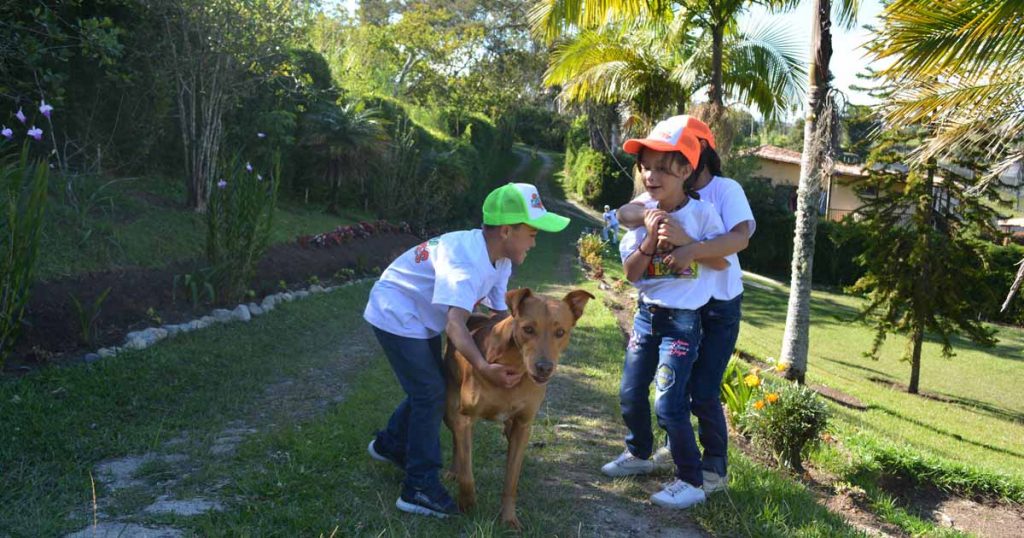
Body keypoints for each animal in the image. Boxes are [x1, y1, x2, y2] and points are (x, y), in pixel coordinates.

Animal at [444, 286, 598, 524]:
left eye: (560, 332)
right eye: (528, 329)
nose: (544, 367)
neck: (513, 363)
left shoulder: (523, 426)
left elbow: (511, 480)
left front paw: (508, 518)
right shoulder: (465, 418)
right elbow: (467, 473)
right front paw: (467, 505)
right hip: (449, 410)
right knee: (455, 440)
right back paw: (453, 471)